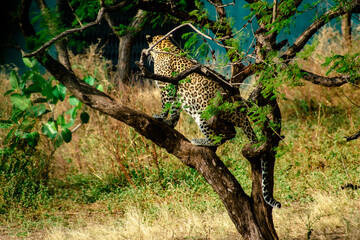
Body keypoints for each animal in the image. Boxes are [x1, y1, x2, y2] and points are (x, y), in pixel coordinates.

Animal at [146, 34, 282, 208]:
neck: (164, 47)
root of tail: (241, 113)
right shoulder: (175, 91)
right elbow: (175, 111)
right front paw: (170, 122)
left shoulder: (166, 86)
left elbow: (165, 104)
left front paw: (160, 116)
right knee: (229, 132)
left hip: (204, 113)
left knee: (223, 136)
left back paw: (199, 141)